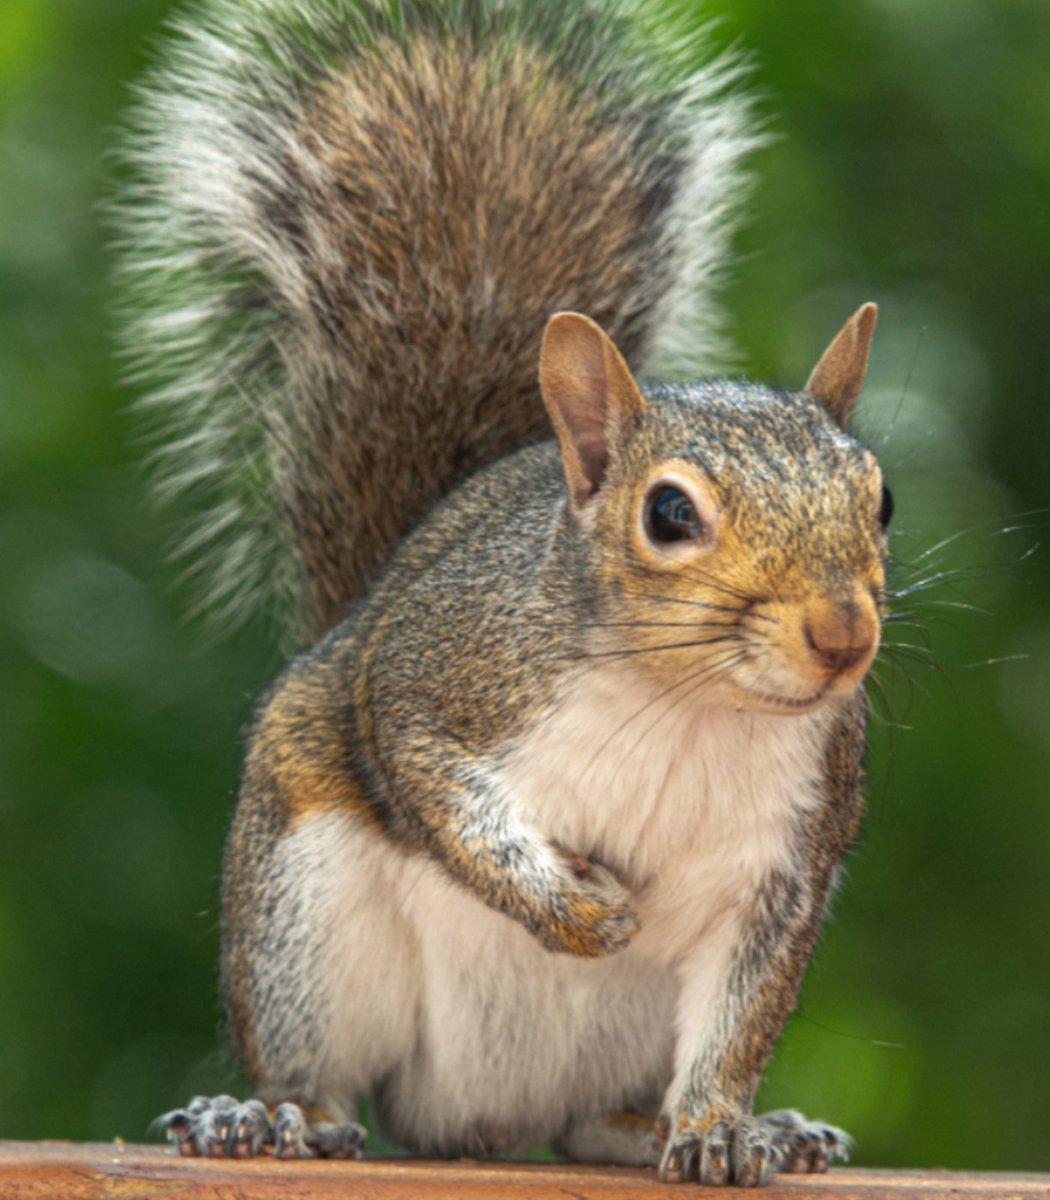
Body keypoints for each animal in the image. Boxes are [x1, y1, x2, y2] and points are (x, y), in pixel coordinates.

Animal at [118, 0, 893, 1187]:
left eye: (882, 496)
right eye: (670, 515)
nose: (843, 635)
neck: (685, 700)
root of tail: (481, 1118)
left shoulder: (782, 866)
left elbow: (740, 1018)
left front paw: (723, 1127)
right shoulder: (440, 672)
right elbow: (432, 781)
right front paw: (569, 911)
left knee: (594, 1122)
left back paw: (728, 1131)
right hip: (305, 914)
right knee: (327, 1078)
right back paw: (265, 1117)